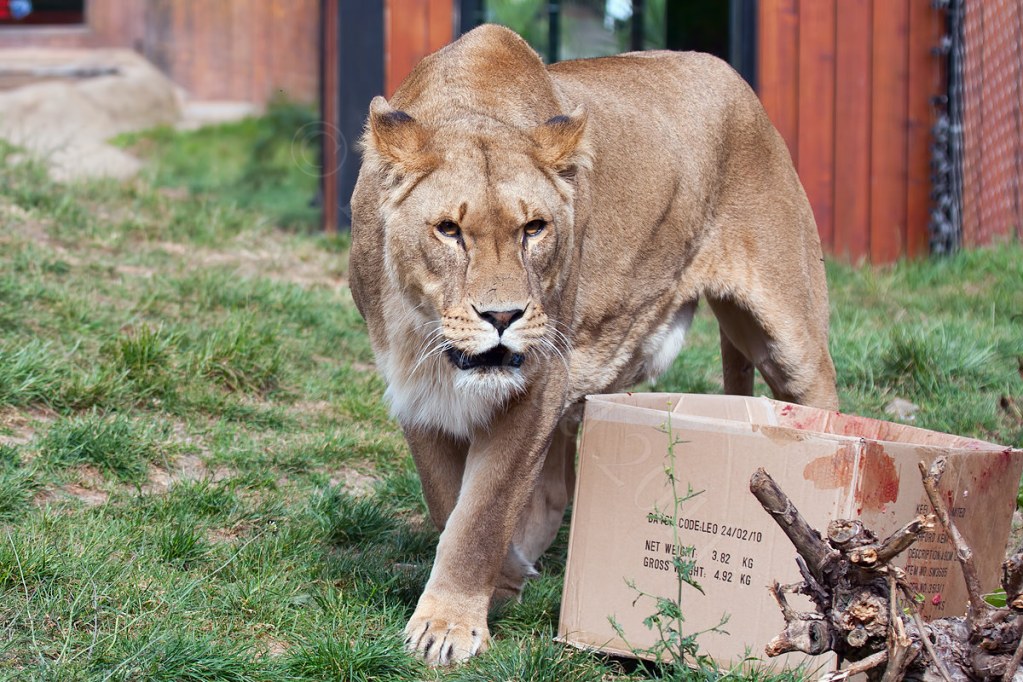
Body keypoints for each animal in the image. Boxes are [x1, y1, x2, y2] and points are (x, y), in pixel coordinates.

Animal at [348, 24, 838, 665]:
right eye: (448, 230)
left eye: (534, 228)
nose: (502, 315)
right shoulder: (411, 383)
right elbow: (447, 499)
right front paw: (498, 583)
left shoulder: (540, 379)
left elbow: (482, 511)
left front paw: (449, 625)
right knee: (554, 488)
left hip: (793, 339)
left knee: (829, 412)